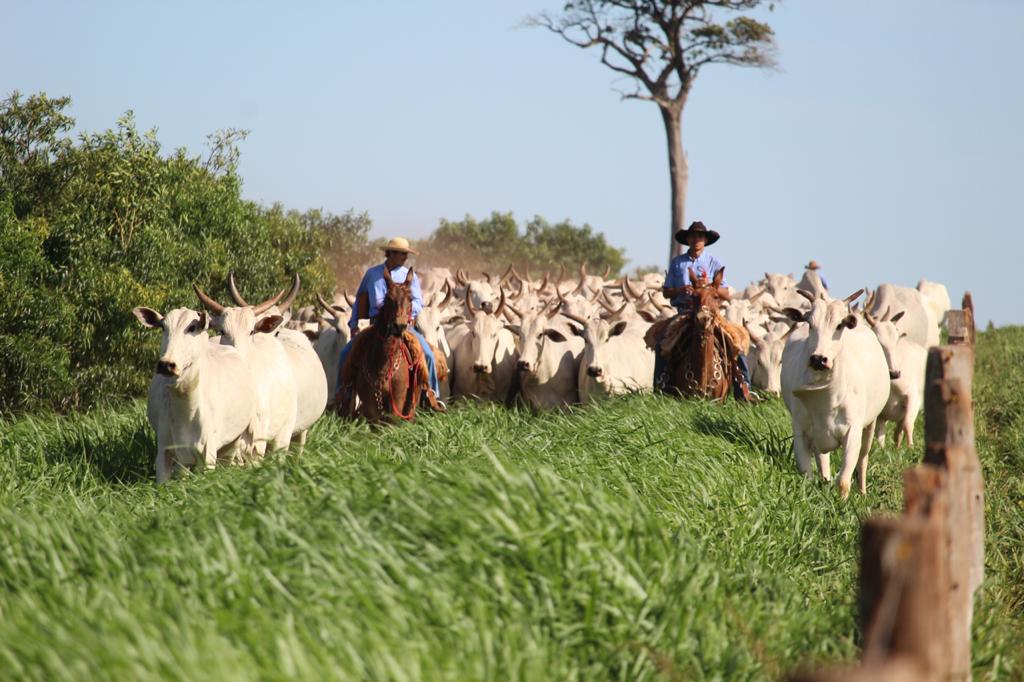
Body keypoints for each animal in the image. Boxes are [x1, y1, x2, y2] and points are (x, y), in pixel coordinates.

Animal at [133, 305, 254, 481]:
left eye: (192, 327)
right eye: (163, 327)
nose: (167, 364)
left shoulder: (208, 456)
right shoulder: (164, 452)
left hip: (231, 444)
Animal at [335, 266, 440, 421]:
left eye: (410, 299)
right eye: (388, 298)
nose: (399, 326)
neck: (383, 365)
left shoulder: (396, 403)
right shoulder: (370, 406)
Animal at [778, 288, 892, 497]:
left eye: (840, 325)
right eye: (809, 323)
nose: (818, 359)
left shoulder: (853, 432)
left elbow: (844, 480)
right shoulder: (801, 432)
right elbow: (807, 476)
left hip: (870, 425)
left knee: (863, 460)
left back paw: (862, 491)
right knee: (823, 459)